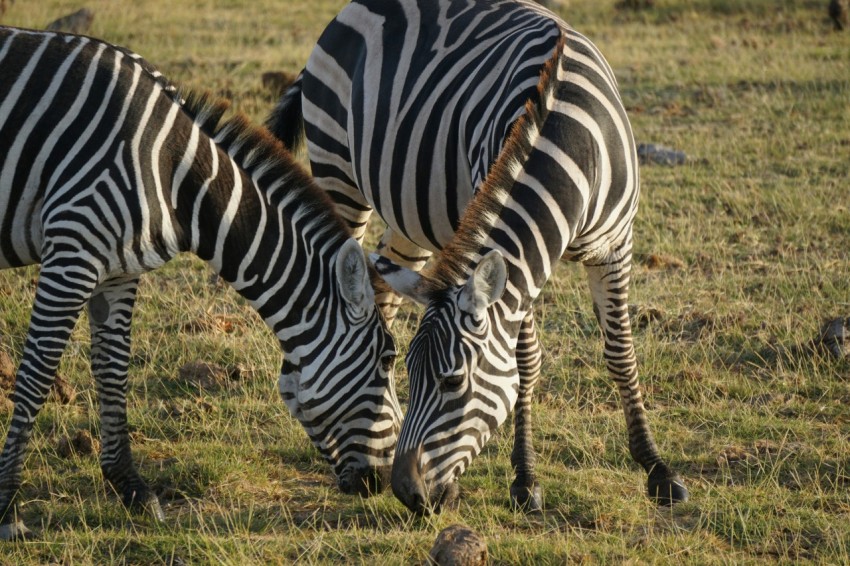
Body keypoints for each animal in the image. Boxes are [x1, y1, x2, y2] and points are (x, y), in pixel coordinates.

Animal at [0, 27, 400, 540]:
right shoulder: (73, 248)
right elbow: (35, 375)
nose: (382, 483)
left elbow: (113, 369)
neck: (175, 177)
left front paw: (131, 487)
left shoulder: (118, 269)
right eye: (387, 360)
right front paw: (6, 506)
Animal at [268, 0, 684, 516]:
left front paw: (656, 468)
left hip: (409, 219)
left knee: (382, 292)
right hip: (337, 172)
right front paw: (526, 479)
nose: (408, 494)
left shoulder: (616, 245)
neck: (570, 137)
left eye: (451, 383)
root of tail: (352, 8)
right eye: (415, 376)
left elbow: (621, 351)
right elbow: (525, 362)